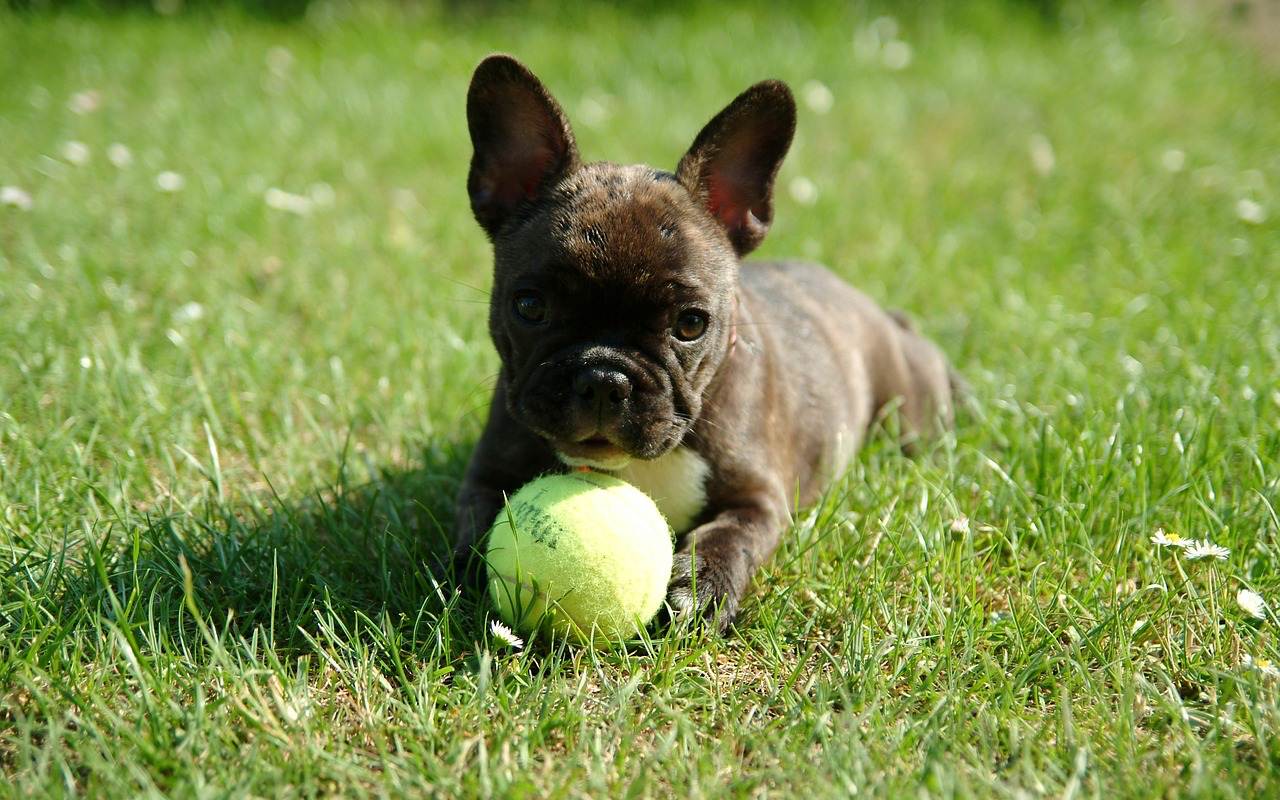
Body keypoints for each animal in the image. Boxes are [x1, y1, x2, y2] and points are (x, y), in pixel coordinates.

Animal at [455, 54, 957, 629]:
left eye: (691, 324)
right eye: (530, 307)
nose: (604, 377)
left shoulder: (759, 499)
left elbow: (731, 535)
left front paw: (701, 584)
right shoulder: (485, 476)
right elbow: (476, 527)